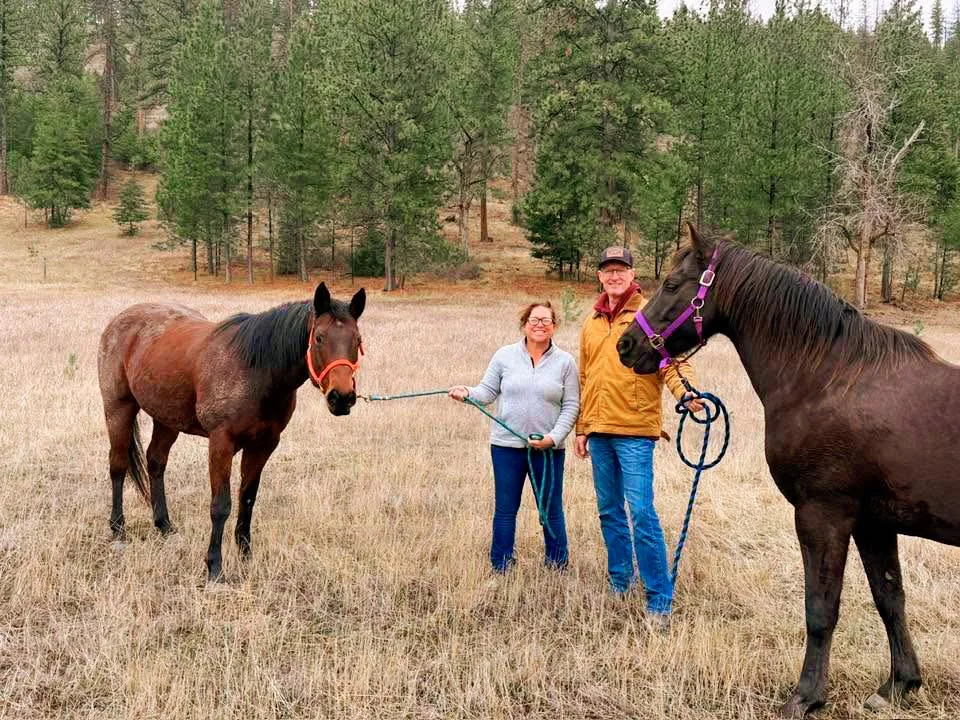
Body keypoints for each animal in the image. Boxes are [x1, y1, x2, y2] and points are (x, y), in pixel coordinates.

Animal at [97, 282, 365, 582]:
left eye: (357, 340)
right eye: (319, 337)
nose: (342, 398)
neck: (255, 371)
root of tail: (120, 320)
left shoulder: (263, 445)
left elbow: (247, 499)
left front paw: (245, 555)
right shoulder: (221, 443)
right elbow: (220, 505)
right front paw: (214, 566)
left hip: (166, 419)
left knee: (155, 462)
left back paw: (164, 525)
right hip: (118, 408)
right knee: (118, 466)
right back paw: (118, 529)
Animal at [616, 225, 960, 717]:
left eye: (672, 283)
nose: (626, 346)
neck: (831, 378)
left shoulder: (822, 515)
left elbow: (821, 609)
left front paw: (806, 696)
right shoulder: (873, 523)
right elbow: (890, 597)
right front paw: (899, 684)